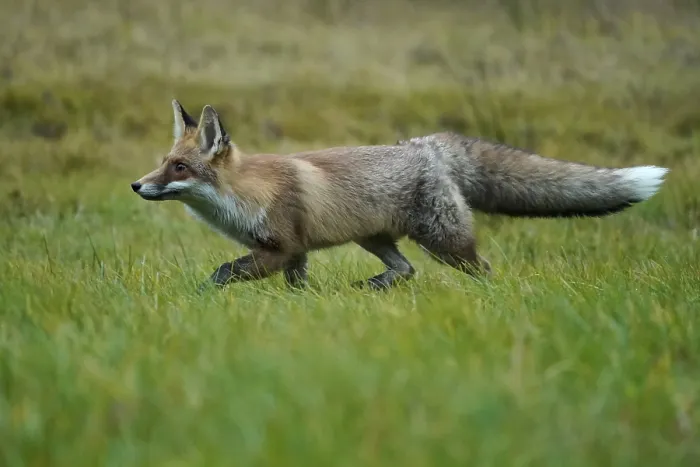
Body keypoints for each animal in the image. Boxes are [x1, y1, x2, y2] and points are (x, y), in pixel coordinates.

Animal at [131, 99, 669, 291]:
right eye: (164, 161)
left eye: (179, 167)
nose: (137, 185)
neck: (242, 196)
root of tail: (426, 145)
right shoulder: (296, 254)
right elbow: (296, 289)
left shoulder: (279, 247)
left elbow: (224, 272)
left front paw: (200, 297)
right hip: (374, 238)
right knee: (405, 269)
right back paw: (375, 286)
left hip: (445, 242)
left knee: (482, 270)